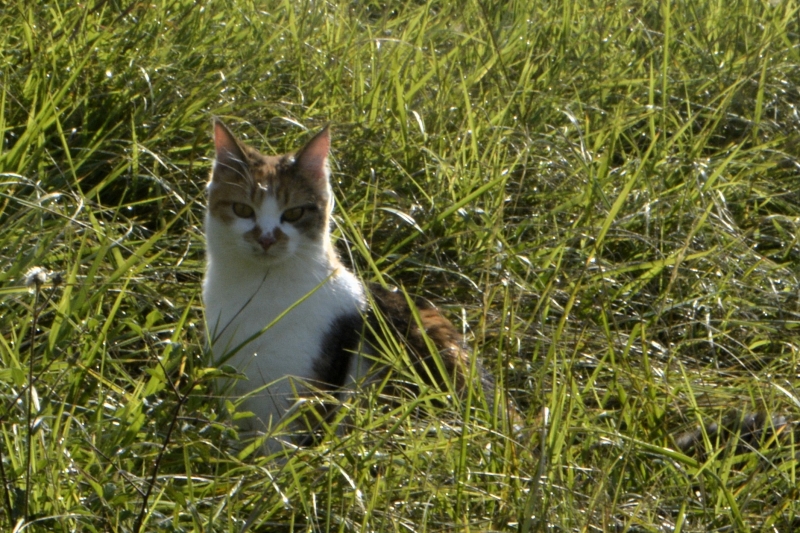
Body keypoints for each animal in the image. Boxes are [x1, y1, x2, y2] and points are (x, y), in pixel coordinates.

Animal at [203, 119, 503, 452]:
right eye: (243, 210)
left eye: (294, 213)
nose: (266, 239)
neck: (258, 292)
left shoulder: (298, 397)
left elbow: (278, 450)